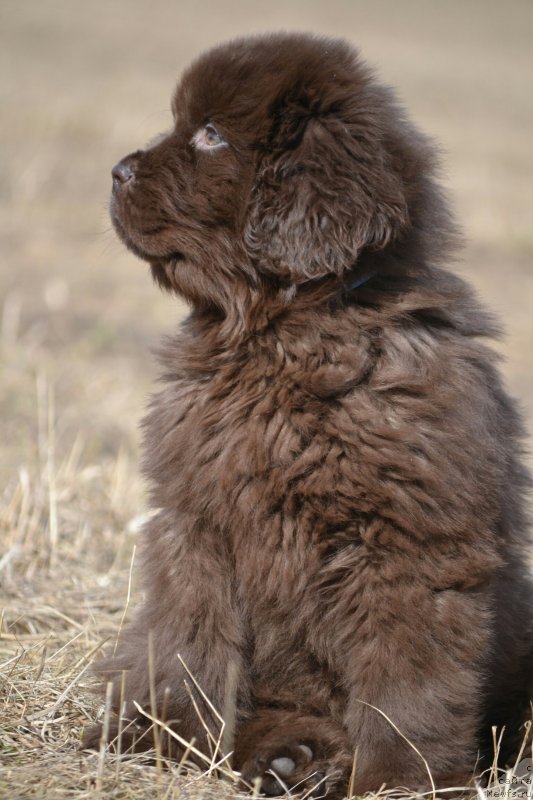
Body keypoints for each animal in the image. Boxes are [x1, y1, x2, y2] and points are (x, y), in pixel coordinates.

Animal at [85, 34, 528, 796]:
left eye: (211, 134)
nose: (117, 169)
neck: (280, 339)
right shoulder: (195, 525)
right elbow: (188, 650)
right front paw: (172, 748)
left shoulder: (409, 545)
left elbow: (408, 681)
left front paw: (398, 780)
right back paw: (281, 754)